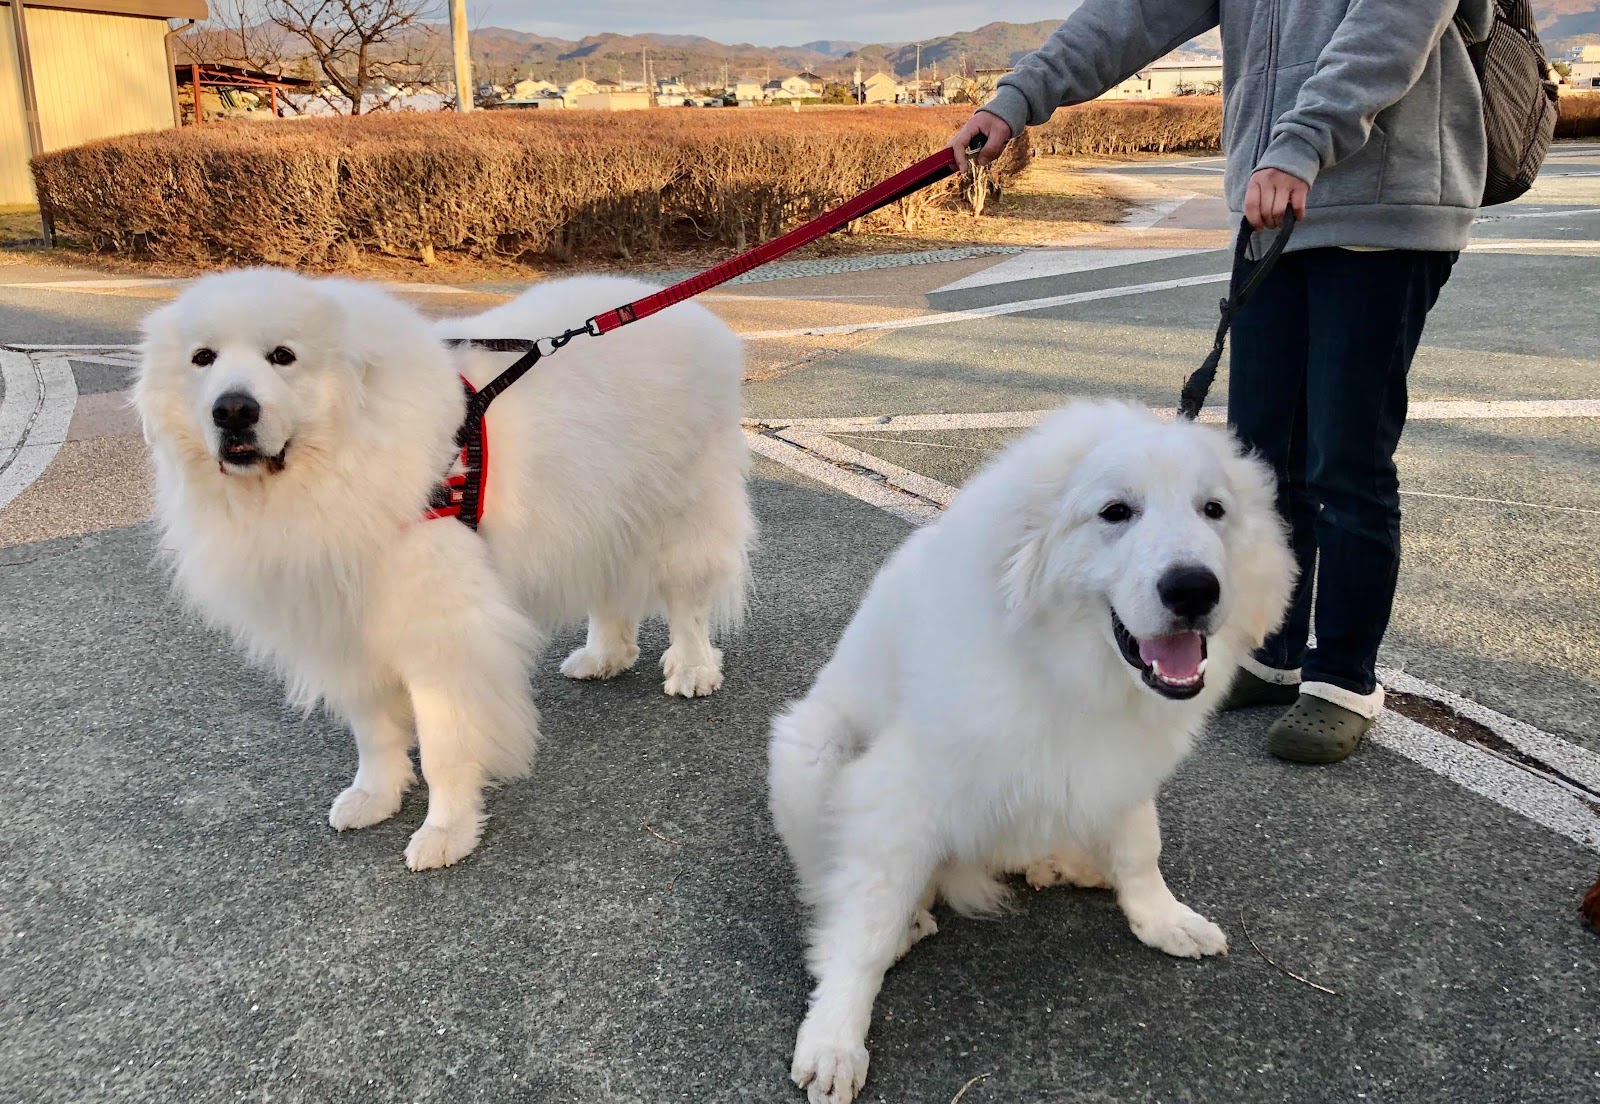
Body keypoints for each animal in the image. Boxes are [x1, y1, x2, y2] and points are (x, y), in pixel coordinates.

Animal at [136, 270, 753, 870]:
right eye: (203, 358)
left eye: (282, 356)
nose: (233, 410)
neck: (339, 456)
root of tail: (695, 314)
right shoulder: (347, 630)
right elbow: (374, 733)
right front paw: (375, 796)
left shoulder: (442, 636)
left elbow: (443, 745)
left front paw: (447, 832)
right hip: (597, 511)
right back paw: (604, 655)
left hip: (678, 516)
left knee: (687, 602)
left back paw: (692, 668)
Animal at [767, 400, 1295, 1104]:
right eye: (1115, 512)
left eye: (1213, 510)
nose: (1194, 590)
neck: (1065, 666)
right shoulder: (900, 791)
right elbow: (865, 925)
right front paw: (835, 1036)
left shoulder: (1125, 765)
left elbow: (1140, 848)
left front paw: (1161, 919)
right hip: (810, 750)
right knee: (838, 880)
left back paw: (1067, 863)